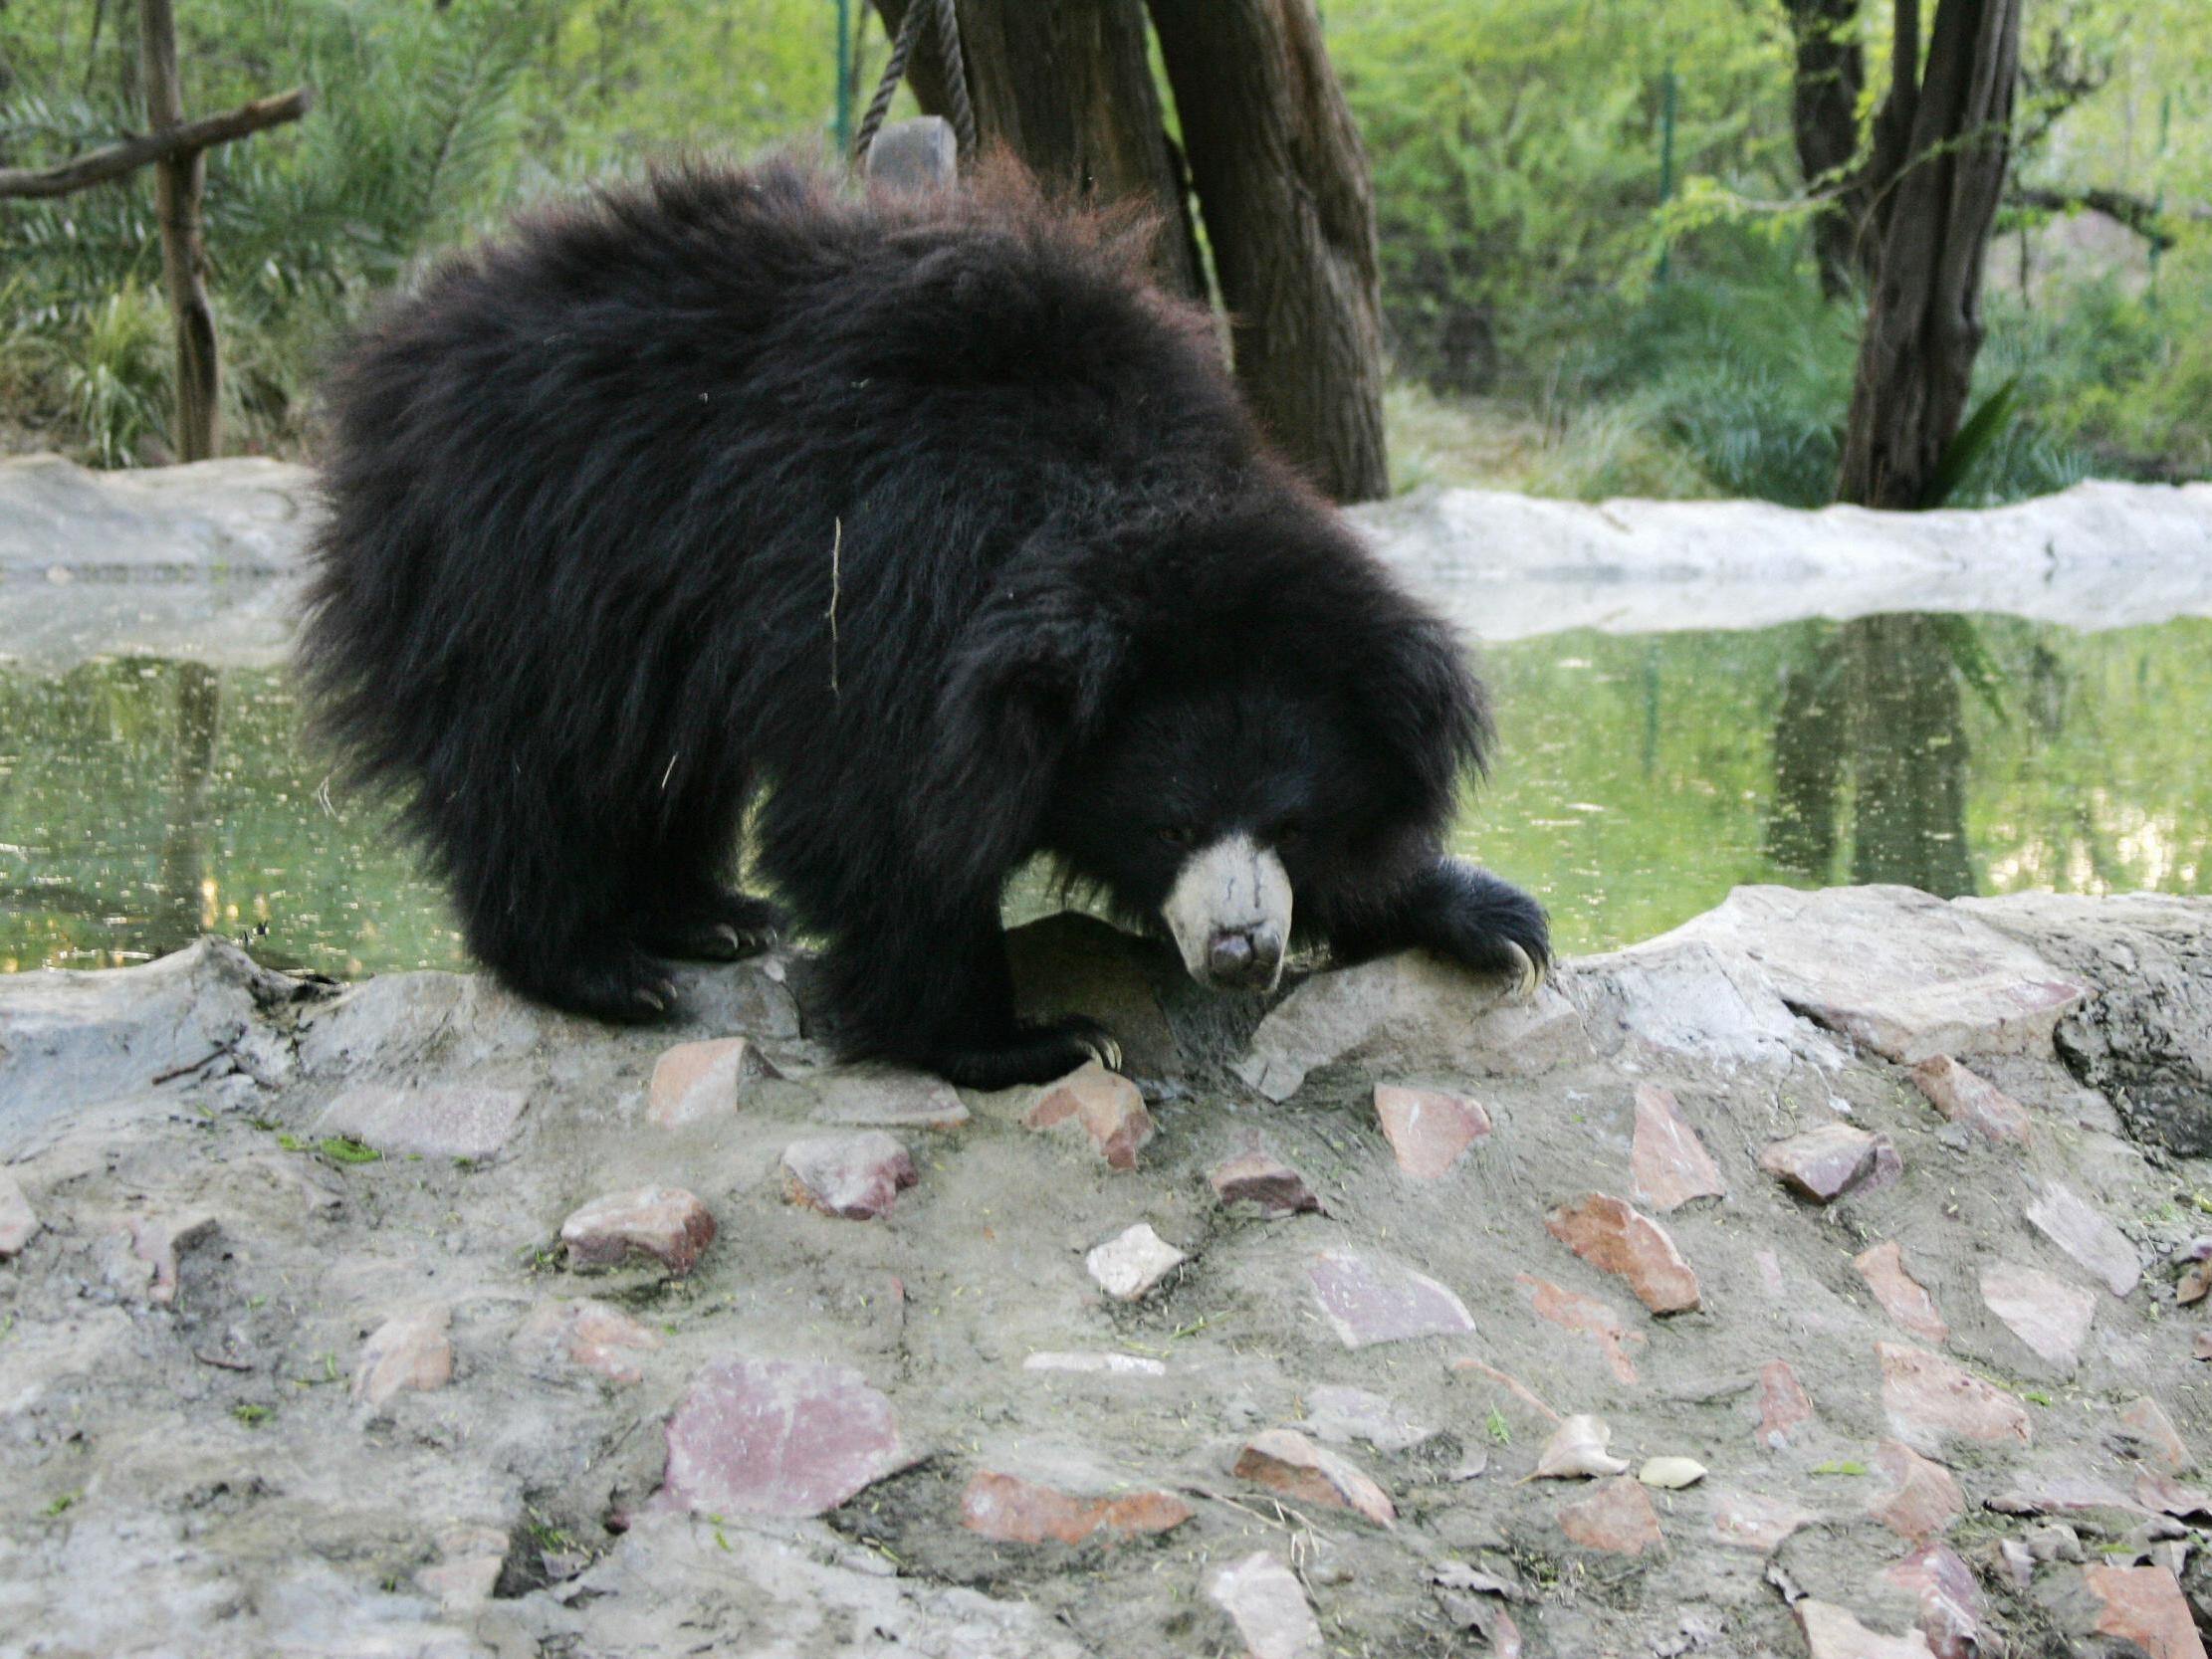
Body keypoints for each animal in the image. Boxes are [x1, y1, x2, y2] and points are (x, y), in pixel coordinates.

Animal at [294, 159, 1548, 1092]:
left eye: (1292, 821)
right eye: (1169, 821)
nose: (1241, 955)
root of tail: (411, 339)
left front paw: (1480, 916)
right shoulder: (886, 582)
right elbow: (884, 815)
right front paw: (1024, 1038)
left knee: (659, 759)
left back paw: (706, 917)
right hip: (528, 555)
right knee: (542, 756)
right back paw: (596, 966)